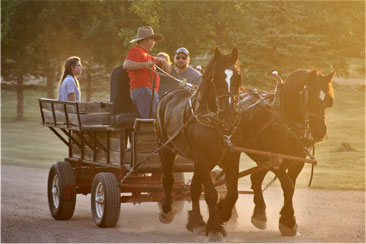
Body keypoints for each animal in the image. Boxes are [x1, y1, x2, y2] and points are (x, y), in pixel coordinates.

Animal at [155, 46, 243, 241]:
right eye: (216, 78)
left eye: (237, 76)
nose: (228, 113)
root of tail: (170, 93)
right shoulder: (202, 157)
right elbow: (210, 193)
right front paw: (215, 229)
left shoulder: (231, 157)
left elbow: (232, 193)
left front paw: (223, 214)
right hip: (166, 149)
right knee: (168, 180)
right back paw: (166, 211)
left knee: (194, 188)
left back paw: (196, 222)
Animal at [234, 68, 334, 236]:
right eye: (310, 97)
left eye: (327, 100)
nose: (320, 131)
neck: (286, 121)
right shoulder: (274, 159)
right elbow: (288, 185)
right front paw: (288, 221)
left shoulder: (297, 161)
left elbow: (291, 185)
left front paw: (286, 218)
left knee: (255, 178)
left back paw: (258, 212)